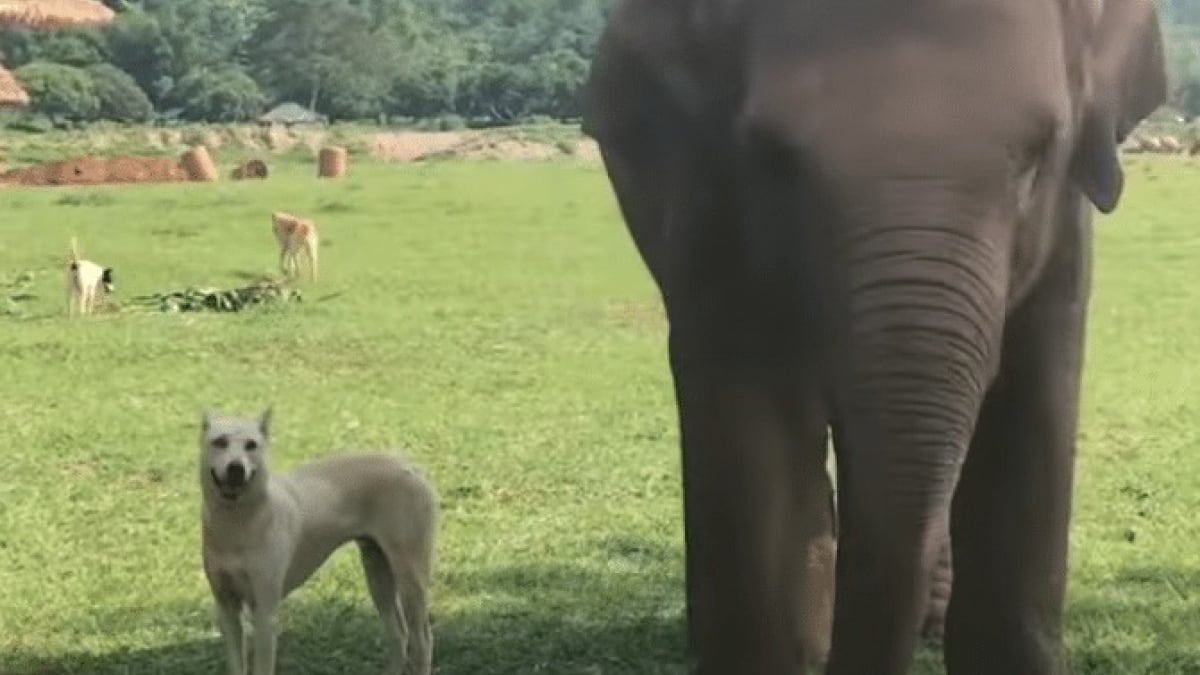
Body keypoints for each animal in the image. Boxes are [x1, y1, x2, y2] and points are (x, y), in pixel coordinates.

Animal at [199, 403, 439, 672]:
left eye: (252, 445)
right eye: (219, 442)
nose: (236, 468)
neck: (239, 523)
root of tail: (410, 468)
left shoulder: (265, 613)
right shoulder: (226, 609)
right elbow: (235, 664)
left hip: (410, 577)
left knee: (422, 640)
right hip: (378, 573)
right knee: (399, 634)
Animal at [580, 1, 1161, 672]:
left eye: (1038, 156)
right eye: (773, 159)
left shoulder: (1065, 229)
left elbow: (1033, 398)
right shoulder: (705, 209)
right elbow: (743, 410)